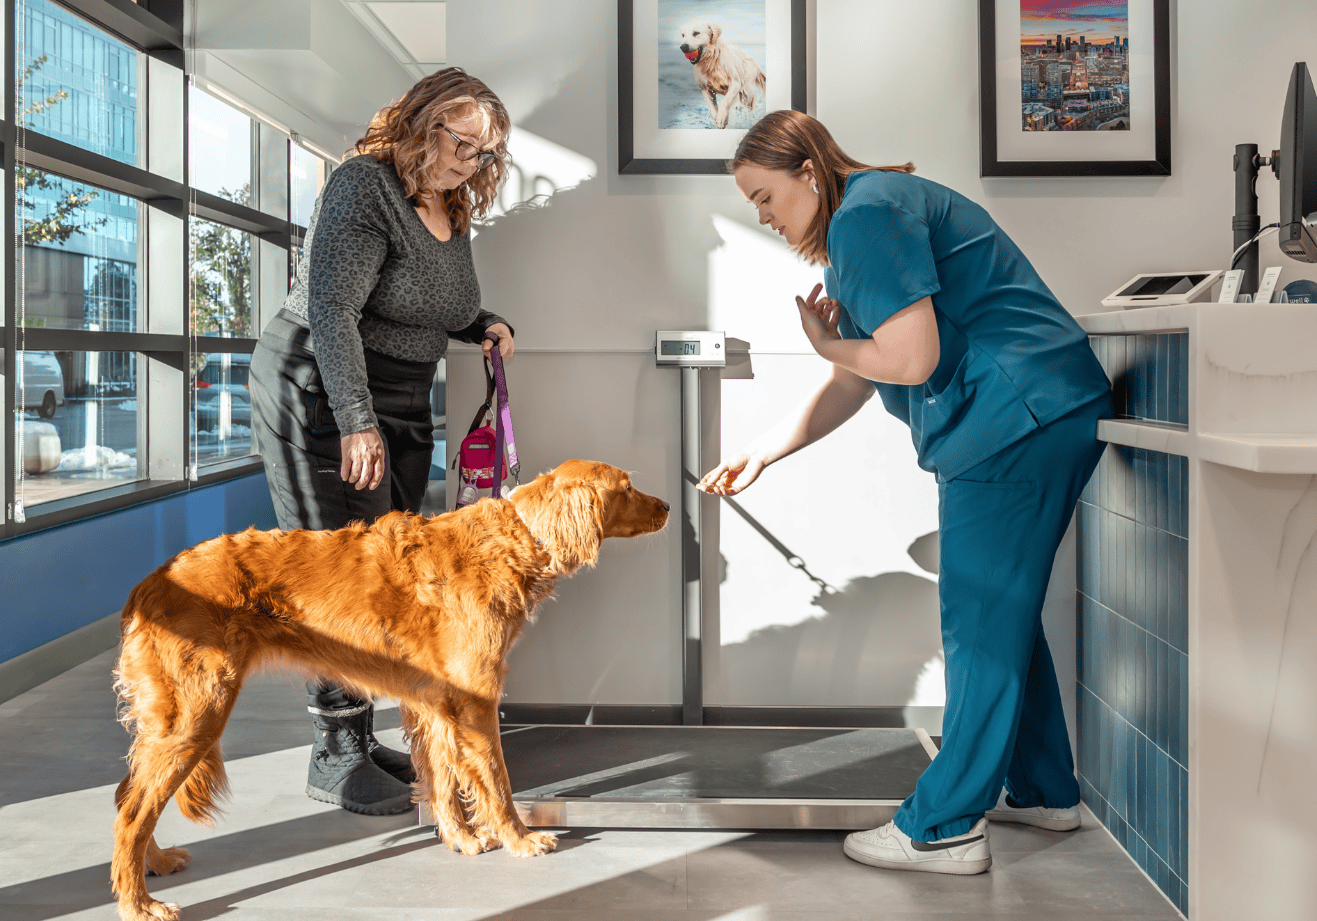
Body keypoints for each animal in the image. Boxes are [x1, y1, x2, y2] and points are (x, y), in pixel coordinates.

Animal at [106, 461, 669, 921]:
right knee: (133, 813)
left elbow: (442, 782)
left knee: (126, 797)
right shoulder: (476, 703)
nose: (666, 505)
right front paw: (520, 839)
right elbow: (497, 782)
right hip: (196, 717)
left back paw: (155, 865)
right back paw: (138, 905)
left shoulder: (435, 705)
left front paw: (461, 839)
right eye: (627, 487)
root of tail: (150, 584)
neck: (510, 542)